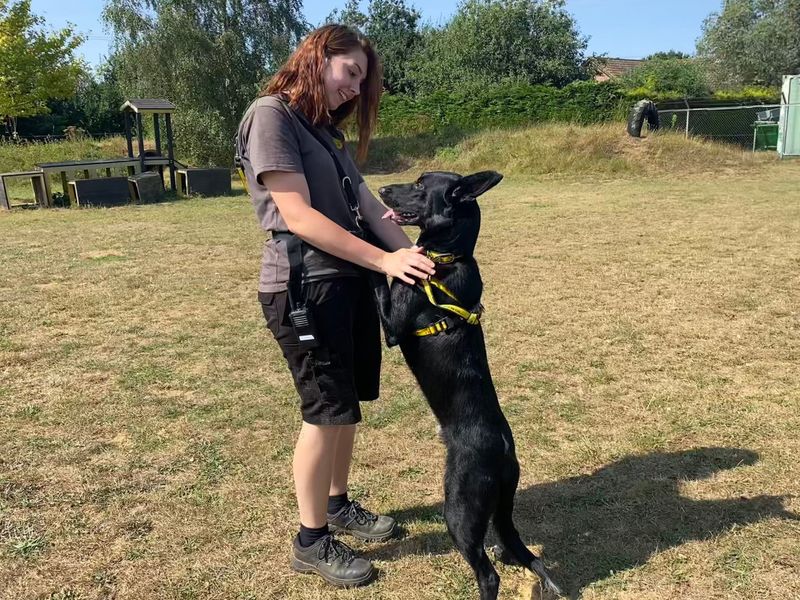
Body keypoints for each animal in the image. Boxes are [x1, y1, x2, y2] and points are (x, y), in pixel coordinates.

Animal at [376, 171, 564, 596]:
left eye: (419, 185)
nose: (380, 190)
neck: (449, 257)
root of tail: (504, 452)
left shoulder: (393, 326)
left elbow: (378, 276)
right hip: (502, 508)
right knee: (523, 551)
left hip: (459, 509)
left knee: (488, 574)